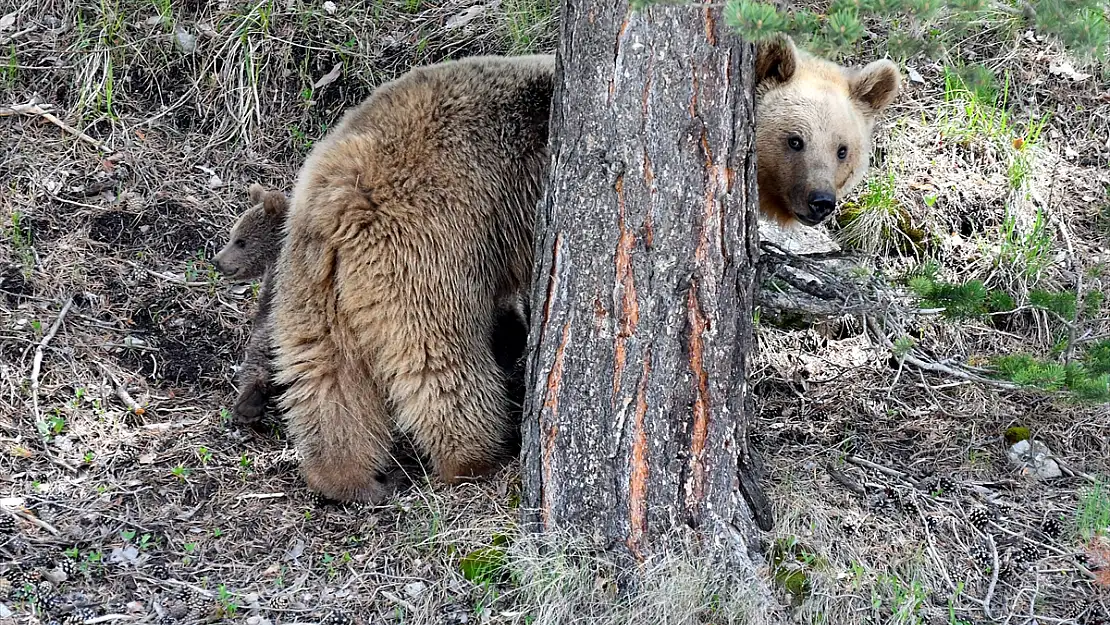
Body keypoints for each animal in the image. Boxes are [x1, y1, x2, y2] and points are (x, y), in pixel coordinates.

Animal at [270, 39, 901, 503]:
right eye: (795, 140)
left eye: (843, 148)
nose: (821, 201)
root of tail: (343, 195)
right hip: (432, 245)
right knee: (440, 359)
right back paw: (477, 455)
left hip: (310, 279)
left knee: (323, 376)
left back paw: (346, 476)